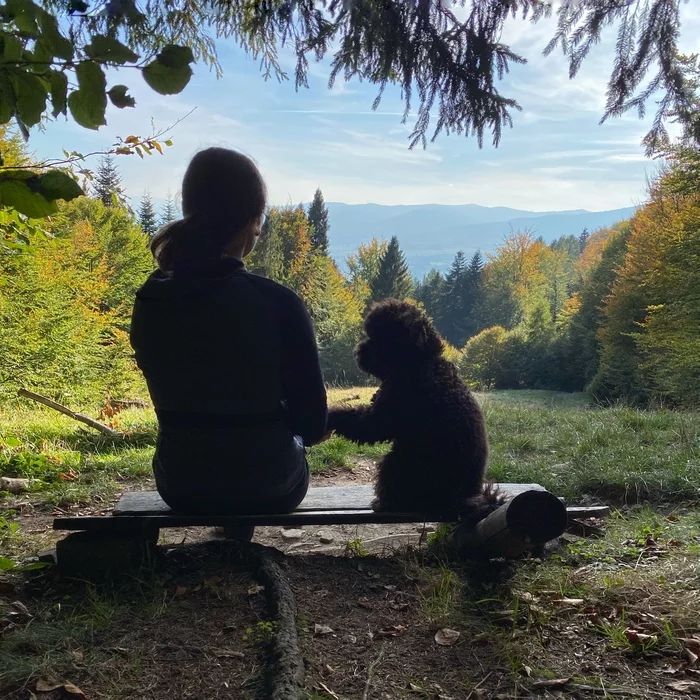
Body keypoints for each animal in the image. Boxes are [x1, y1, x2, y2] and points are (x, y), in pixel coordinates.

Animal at [326, 298, 500, 524]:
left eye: (377, 339)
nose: (358, 350)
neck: (419, 362)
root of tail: (464, 495)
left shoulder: (382, 417)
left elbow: (357, 421)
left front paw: (329, 414)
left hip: (400, 461)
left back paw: (385, 504)